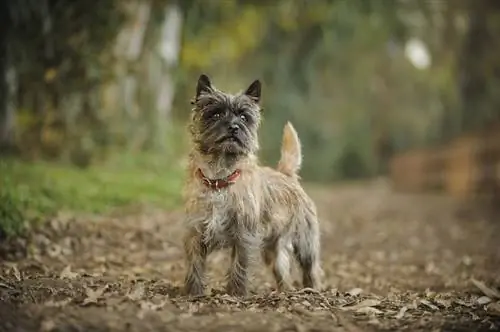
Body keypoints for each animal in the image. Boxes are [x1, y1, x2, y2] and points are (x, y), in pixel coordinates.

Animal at [182, 73, 322, 296]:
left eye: (243, 117)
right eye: (216, 114)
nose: (233, 127)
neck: (220, 177)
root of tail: (286, 174)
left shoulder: (244, 235)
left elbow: (239, 265)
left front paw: (236, 293)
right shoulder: (195, 232)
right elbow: (194, 264)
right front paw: (193, 292)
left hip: (305, 242)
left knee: (311, 269)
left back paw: (312, 289)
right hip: (274, 249)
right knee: (282, 271)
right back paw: (284, 291)